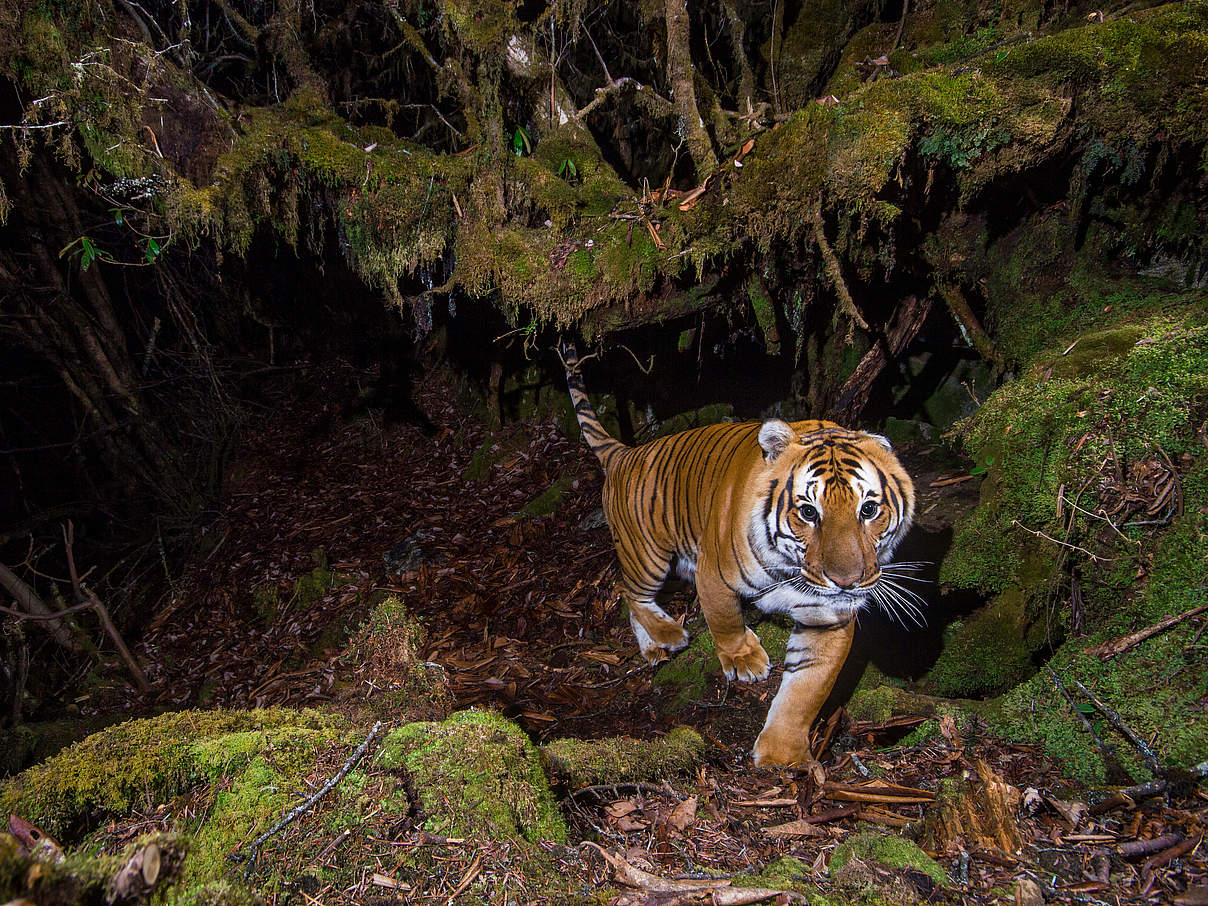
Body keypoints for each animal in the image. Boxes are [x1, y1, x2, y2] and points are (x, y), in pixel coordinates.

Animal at [560, 343, 918, 768]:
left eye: (869, 509)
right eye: (808, 512)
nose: (846, 582)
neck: (792, 568)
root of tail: (624, 453)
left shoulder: (829, 616)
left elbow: (808, 688)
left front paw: (782, 755)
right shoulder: (714, 574)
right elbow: (725, 620)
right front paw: (744, 660)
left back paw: (653, 647)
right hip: (649, 555)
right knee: (627, 589)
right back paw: (668, 633)